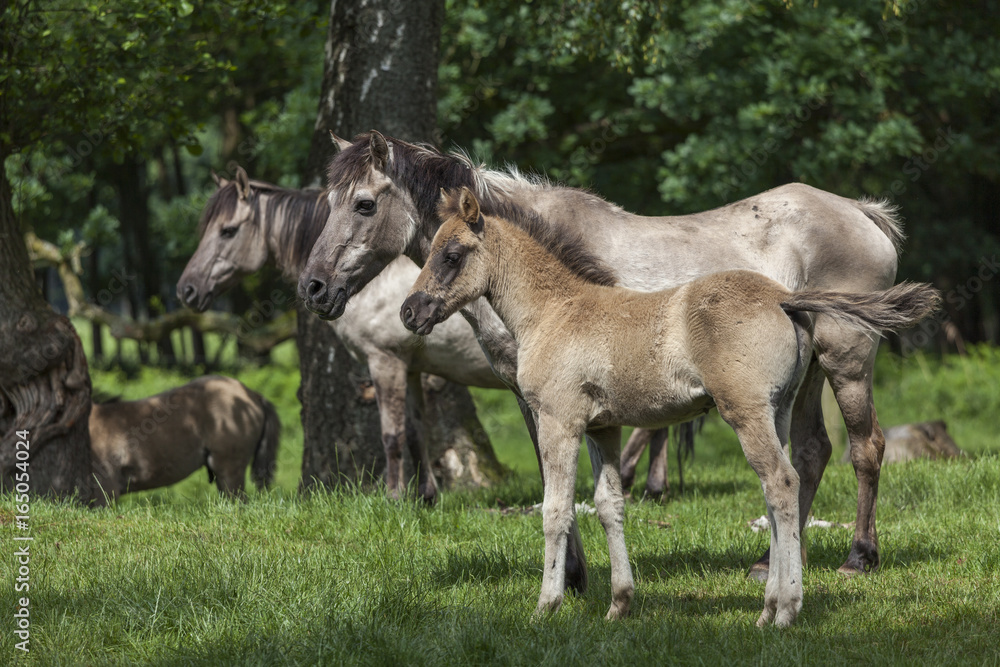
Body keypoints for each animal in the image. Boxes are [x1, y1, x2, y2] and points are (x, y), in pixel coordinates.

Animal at [175, 167, 504, 500]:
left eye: (227, 231)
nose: (186, 289)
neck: (374, 278)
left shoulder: (385, 361)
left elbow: (392, 436)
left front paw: (394, 498)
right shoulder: (410, 367)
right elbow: (415, 432)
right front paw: (425, 497)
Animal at [296, 132, 908, 588]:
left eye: (364, 203)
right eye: (327, 201)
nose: (314, 287)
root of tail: (861, 212)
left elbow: (564, 482)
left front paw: (570, 578)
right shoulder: (535, 396)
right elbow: (559, 480)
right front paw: (573, 574)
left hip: (846, 360)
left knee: (865, 448)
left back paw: (858, 556)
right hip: (804, 376)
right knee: (811, 451)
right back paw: (773, 563)